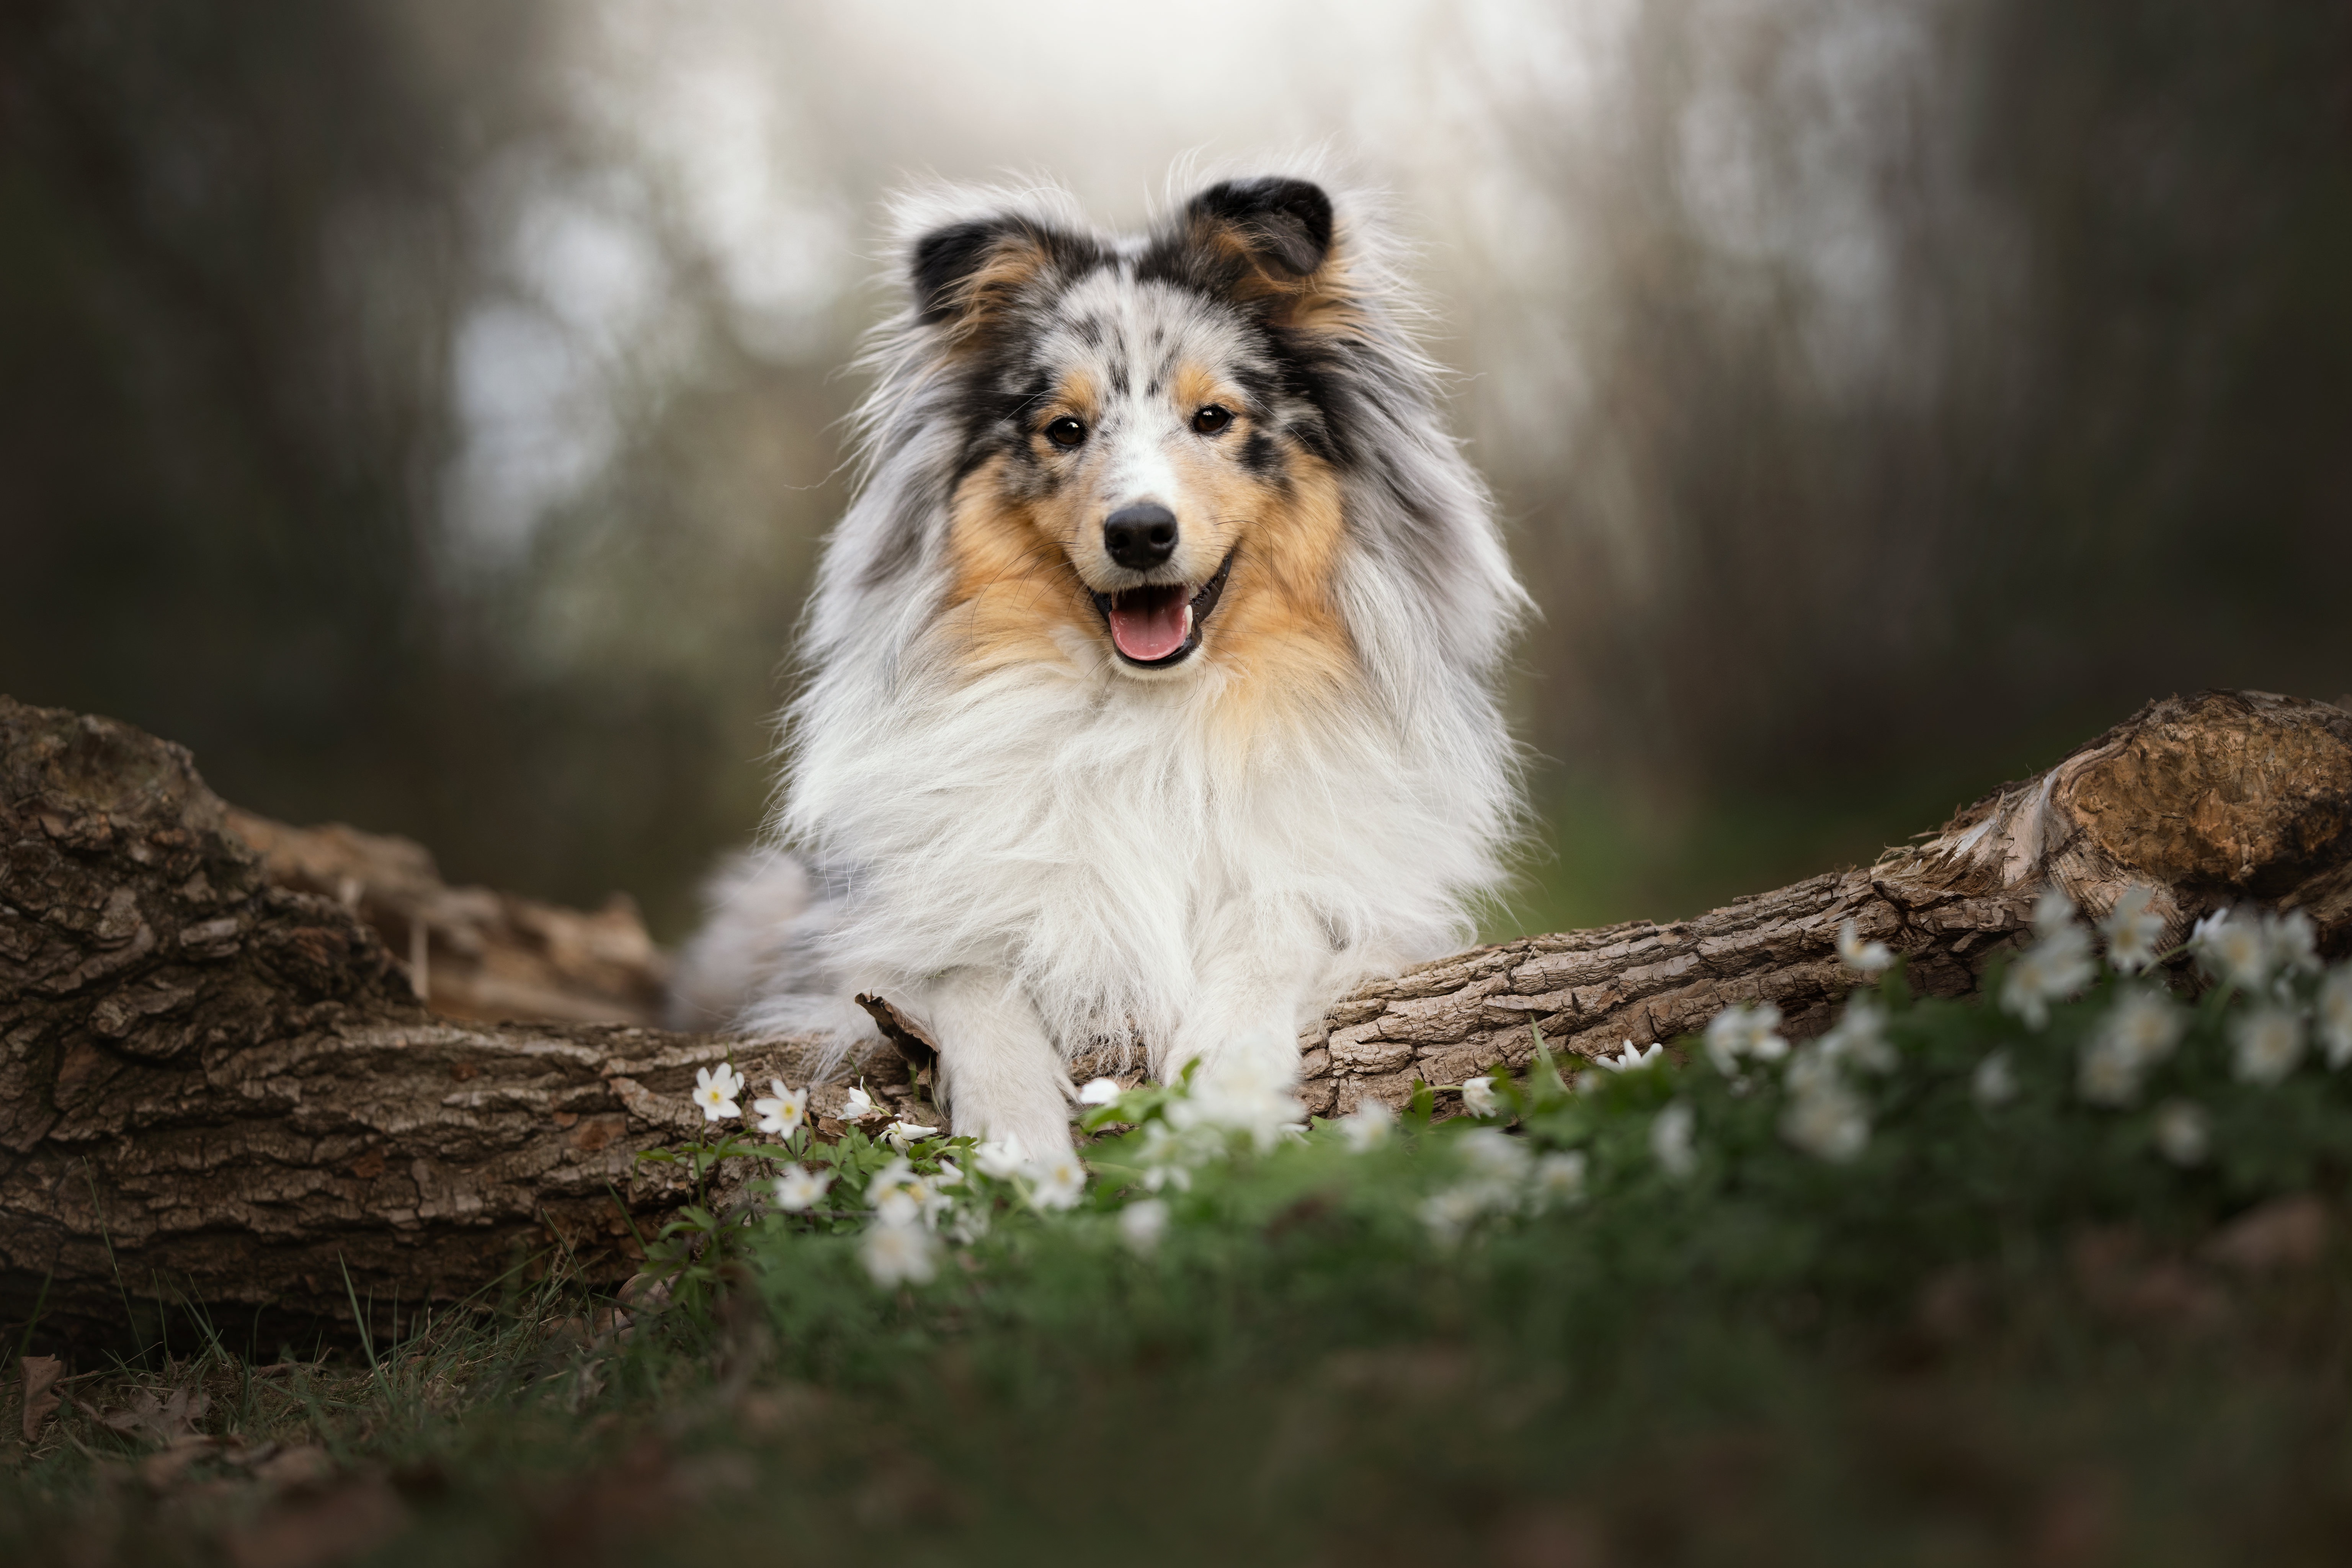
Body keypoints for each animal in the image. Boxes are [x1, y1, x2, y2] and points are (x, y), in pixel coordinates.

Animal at [673, 175, 1533, 1152]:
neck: (1150, 713)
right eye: (1064, 429)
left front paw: (1226, 1078)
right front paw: (1015, 1137)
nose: (1139, 533)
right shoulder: (859, 936)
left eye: (1212, 418)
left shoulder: (1357, 893)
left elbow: (1279, 912)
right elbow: (962, 966)